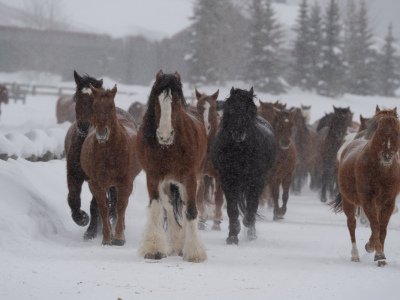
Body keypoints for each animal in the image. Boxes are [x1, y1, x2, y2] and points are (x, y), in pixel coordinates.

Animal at [79, 84, 141, 246]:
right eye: (94, 106)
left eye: (111, 106)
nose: (102, 133)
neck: (109, 154)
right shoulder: (96, 184)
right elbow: (104, 208)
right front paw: (107, 238)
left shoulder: (126, 183)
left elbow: (121, 206)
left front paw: (119, 238)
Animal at [136, 71, 208, 262]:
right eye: (157, 100)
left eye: (175, 100)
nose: (164, 135)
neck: (169, 148)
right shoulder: (153, 177)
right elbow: (156, 208)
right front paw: (154, 249)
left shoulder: (189, 178)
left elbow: (190, 211)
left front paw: (194, 252)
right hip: (168, 182)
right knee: (168, 206)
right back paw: (176, 242)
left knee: (182, 206)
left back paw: (182, 244)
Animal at [211, 86, 276, 244]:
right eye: (231, 108)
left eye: (250, 110)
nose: (238, 133)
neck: (239, 151)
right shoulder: (227, 180)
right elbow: (232, 209)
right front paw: (232, 236)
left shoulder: (256, 180)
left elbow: (252, 205)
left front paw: (247, 223)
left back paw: (251, 232)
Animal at [332, 106, 400, 266]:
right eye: (380, 131)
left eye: (396, 131)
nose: (387, 156)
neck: (381, 171)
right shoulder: (367, 200)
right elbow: (375, 225)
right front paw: (376, 252)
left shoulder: (388, 202)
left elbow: (382, 228)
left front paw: (378, 254)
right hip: (348, 201)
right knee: (351, 224)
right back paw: (355, 255)